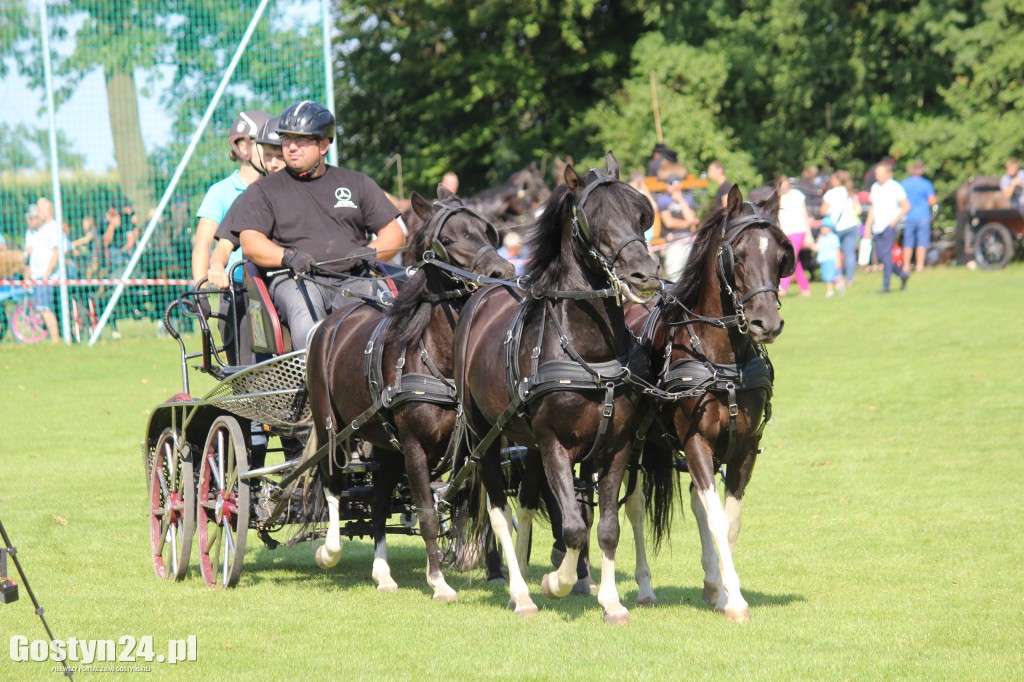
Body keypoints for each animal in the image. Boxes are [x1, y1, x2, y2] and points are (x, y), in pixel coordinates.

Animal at [301, 183, 512, 598]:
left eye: (487, 232)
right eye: (449, 238)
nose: (505, 271)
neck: (435, 353)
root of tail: (328, 324)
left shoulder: (469, 446)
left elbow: (475, 506)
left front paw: (492, 568)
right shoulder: (415, 448)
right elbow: (428, 513)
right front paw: (439, 582)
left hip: (386, 446)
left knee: (379, 502)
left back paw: (383, 574)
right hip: (334, 429)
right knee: (332, 484)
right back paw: (329, 551)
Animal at [456, 151, 663, 618]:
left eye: (640, 214)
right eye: (594, 220)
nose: (645, 275)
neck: (587, 351)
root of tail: (483, 293)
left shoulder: (617, 445)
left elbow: (604, 527)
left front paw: (611, 602)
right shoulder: (554, 444)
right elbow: (571, 526)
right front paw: (558, 581)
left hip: (527, 441)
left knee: (528, 503)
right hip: (484, 436)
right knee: (500, 510)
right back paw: (520, 593)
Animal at [634, 183, 794, 618]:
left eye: (780, 256)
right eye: (736, 255)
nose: (766, 323)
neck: (722, 361)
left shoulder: (745, 448)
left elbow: (728, 519)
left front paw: (723, 590)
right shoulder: (695, 443)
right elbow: (718, 519)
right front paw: (735, 600)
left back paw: (709, 583)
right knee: (633, 506)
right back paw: (644, 588)